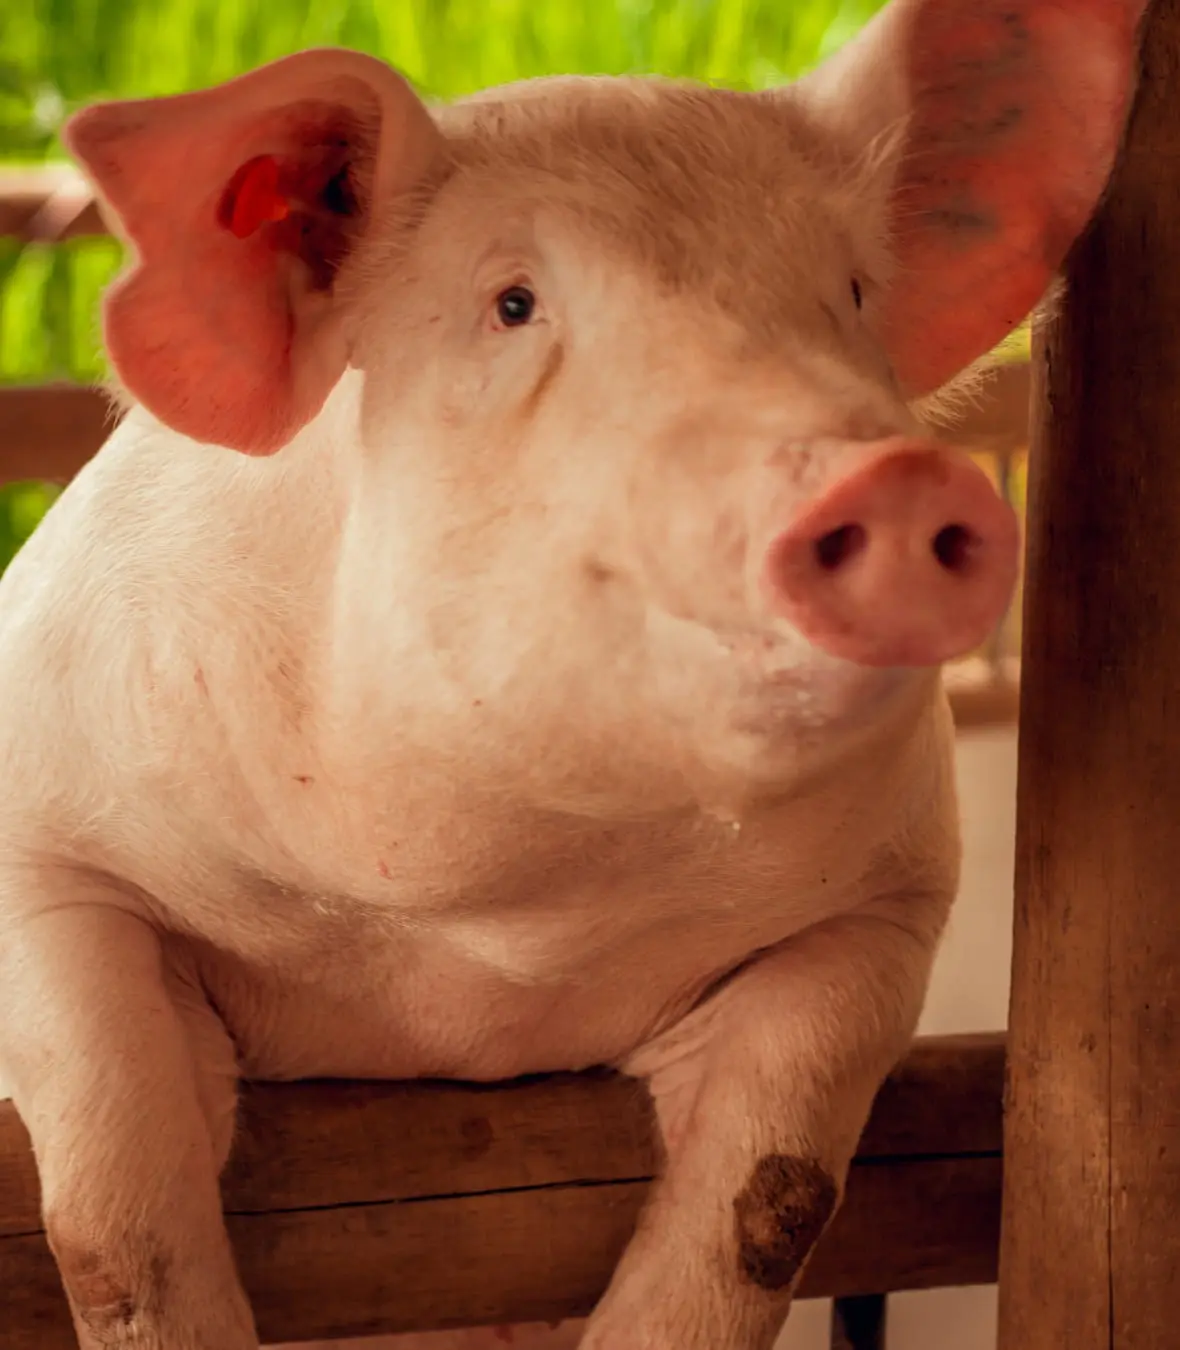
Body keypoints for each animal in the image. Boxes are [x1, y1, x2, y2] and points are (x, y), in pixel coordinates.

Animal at [0, 1, 1146, 1348]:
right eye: (513, 303)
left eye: (853, 295)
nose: (898, 475)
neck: (486, 936)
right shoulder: (46, 849)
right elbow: (116, 1229)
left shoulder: (881, 906)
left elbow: (771, 1201)